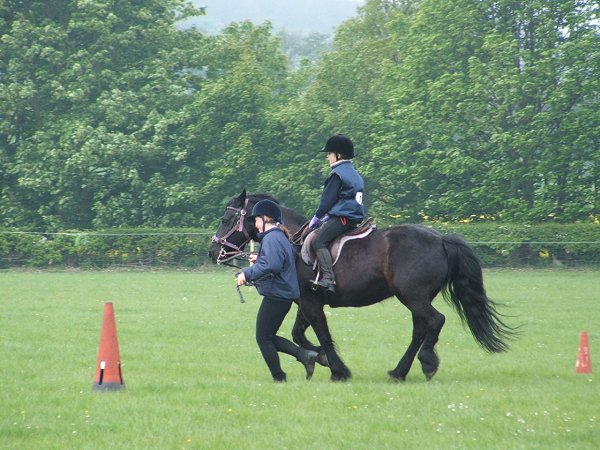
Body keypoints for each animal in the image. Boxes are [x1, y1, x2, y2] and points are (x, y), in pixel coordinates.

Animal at [209, 188, 512, 382]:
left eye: (226, 218)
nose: (213, 252)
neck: (292, 242)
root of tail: (440, 239)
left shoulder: (311, 303)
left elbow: (323, 336)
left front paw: (338, 370)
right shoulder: (307, 302)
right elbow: (299, 336)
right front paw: (318, 358)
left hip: (414, 297)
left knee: (435, 322)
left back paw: (427, 362)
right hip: (416, 299)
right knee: (420, 329)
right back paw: (399, 372)